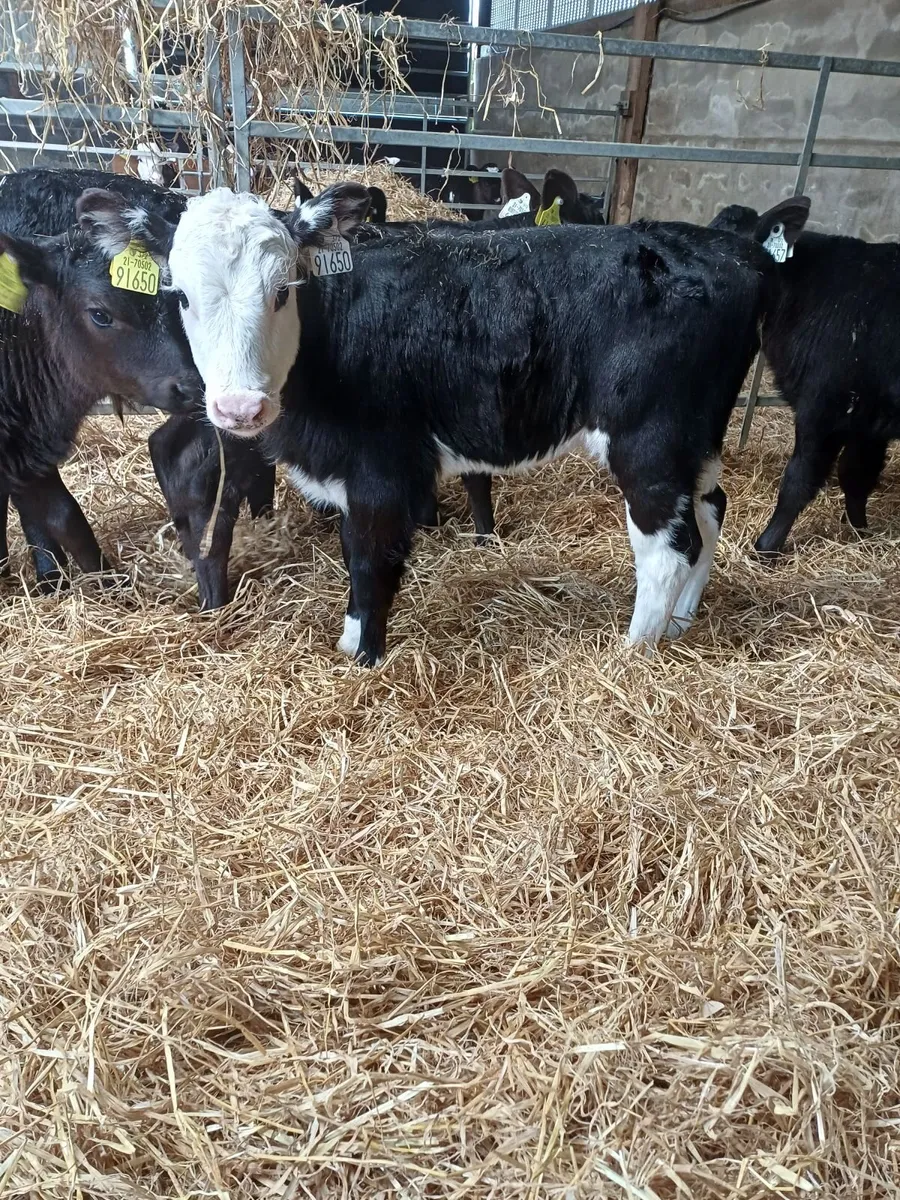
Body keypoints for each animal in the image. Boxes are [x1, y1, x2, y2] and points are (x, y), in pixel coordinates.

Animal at [0, 169, 201, 589]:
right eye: (100, 314)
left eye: (176, 299)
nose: (191, 387)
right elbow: (59, 515)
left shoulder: (25, 445)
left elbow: (64, 514)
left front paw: (104, 582)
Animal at [164, 183, 809, 666]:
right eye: (183, 297)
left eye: (282, 291)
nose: (238, 408)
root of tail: (732, 251)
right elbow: (353, 552)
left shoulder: (384, 467)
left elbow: (371, 560)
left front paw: (363, 657)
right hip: (695, 442)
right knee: (711, 510)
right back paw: (680, 622)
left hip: (651, 438)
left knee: (669, 546)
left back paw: (634, 650)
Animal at [710, 202, 900, 554]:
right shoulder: (867, 420)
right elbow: (856, 475)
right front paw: (860, 531)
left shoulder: (824, 407)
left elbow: (799, 480)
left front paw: (767, 545)